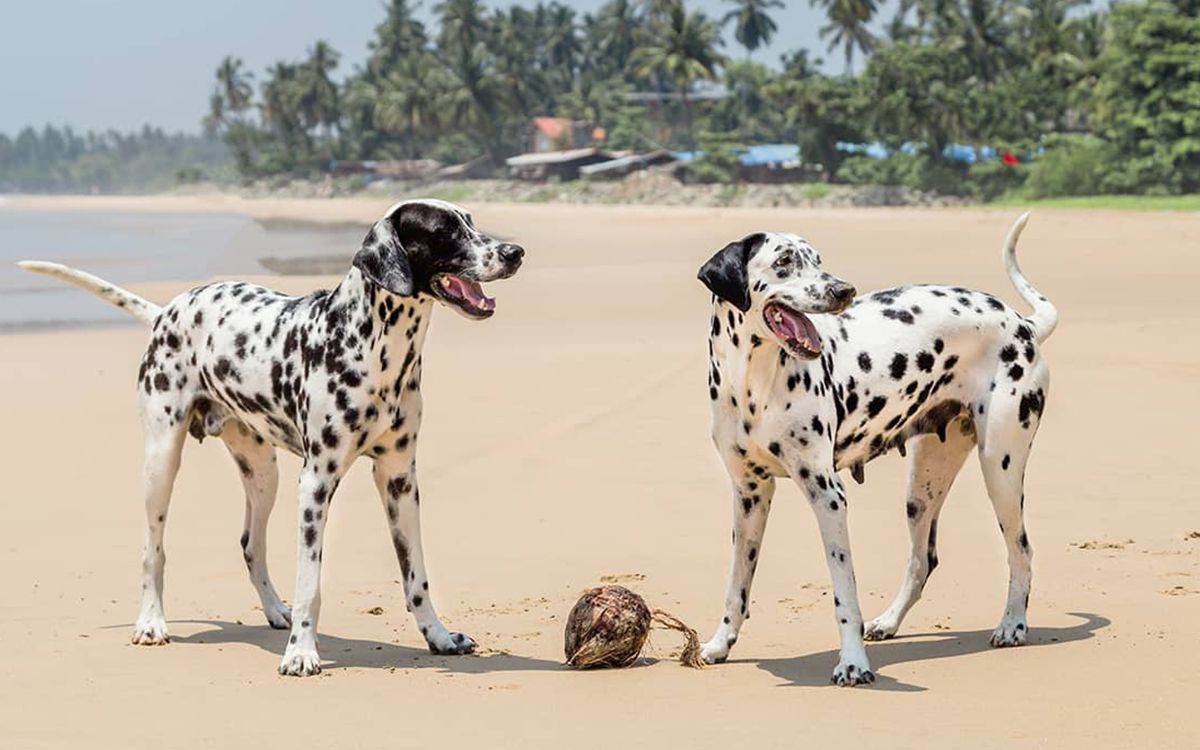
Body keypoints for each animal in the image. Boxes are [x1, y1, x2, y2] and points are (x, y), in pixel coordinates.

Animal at [17, 198, 525, 672]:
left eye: (470, 220)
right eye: (445, 230)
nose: (515, 252)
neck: (373, 348)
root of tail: (167, 311)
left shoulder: (399, 479)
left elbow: (416, 576)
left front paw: (438, 637)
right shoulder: (316, 484)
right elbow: (310, 584)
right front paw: (301, 652)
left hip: (264, 474)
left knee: (249, 543)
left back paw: (275, 610)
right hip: (162, 462)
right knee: (152, 549)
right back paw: (152, 622)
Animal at [696, 213, 1060, 686]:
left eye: (817, 259)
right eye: (784, 262)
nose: (843, 290)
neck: (753, 384)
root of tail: (1021, 323)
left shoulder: (828, 496)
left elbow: (844, 595)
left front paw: (853, 663)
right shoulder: (749, 496)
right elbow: (736, 585)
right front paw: (720, 643)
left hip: (1000, 468)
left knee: (1021, 551)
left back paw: (1013, 623)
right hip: (923, 487)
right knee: (923, 560)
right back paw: (888, 621)